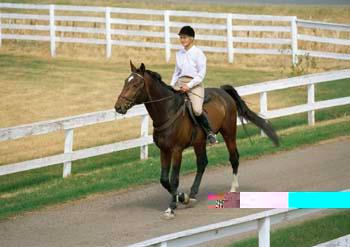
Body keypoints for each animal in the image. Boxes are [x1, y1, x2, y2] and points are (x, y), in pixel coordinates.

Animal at [115, 60, 278, 219]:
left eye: (136, 85)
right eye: (125, 82)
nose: (118, 107)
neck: (168, 112)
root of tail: (223, 92)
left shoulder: (177, 150)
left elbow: (174, 178)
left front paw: (172, 207)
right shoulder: (164, 150)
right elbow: (164, 179)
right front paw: (182, 197)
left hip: (229, 133)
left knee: (234, 158)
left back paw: (232, 189)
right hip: (199, 142)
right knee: (202, 163)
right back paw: (192, 195)